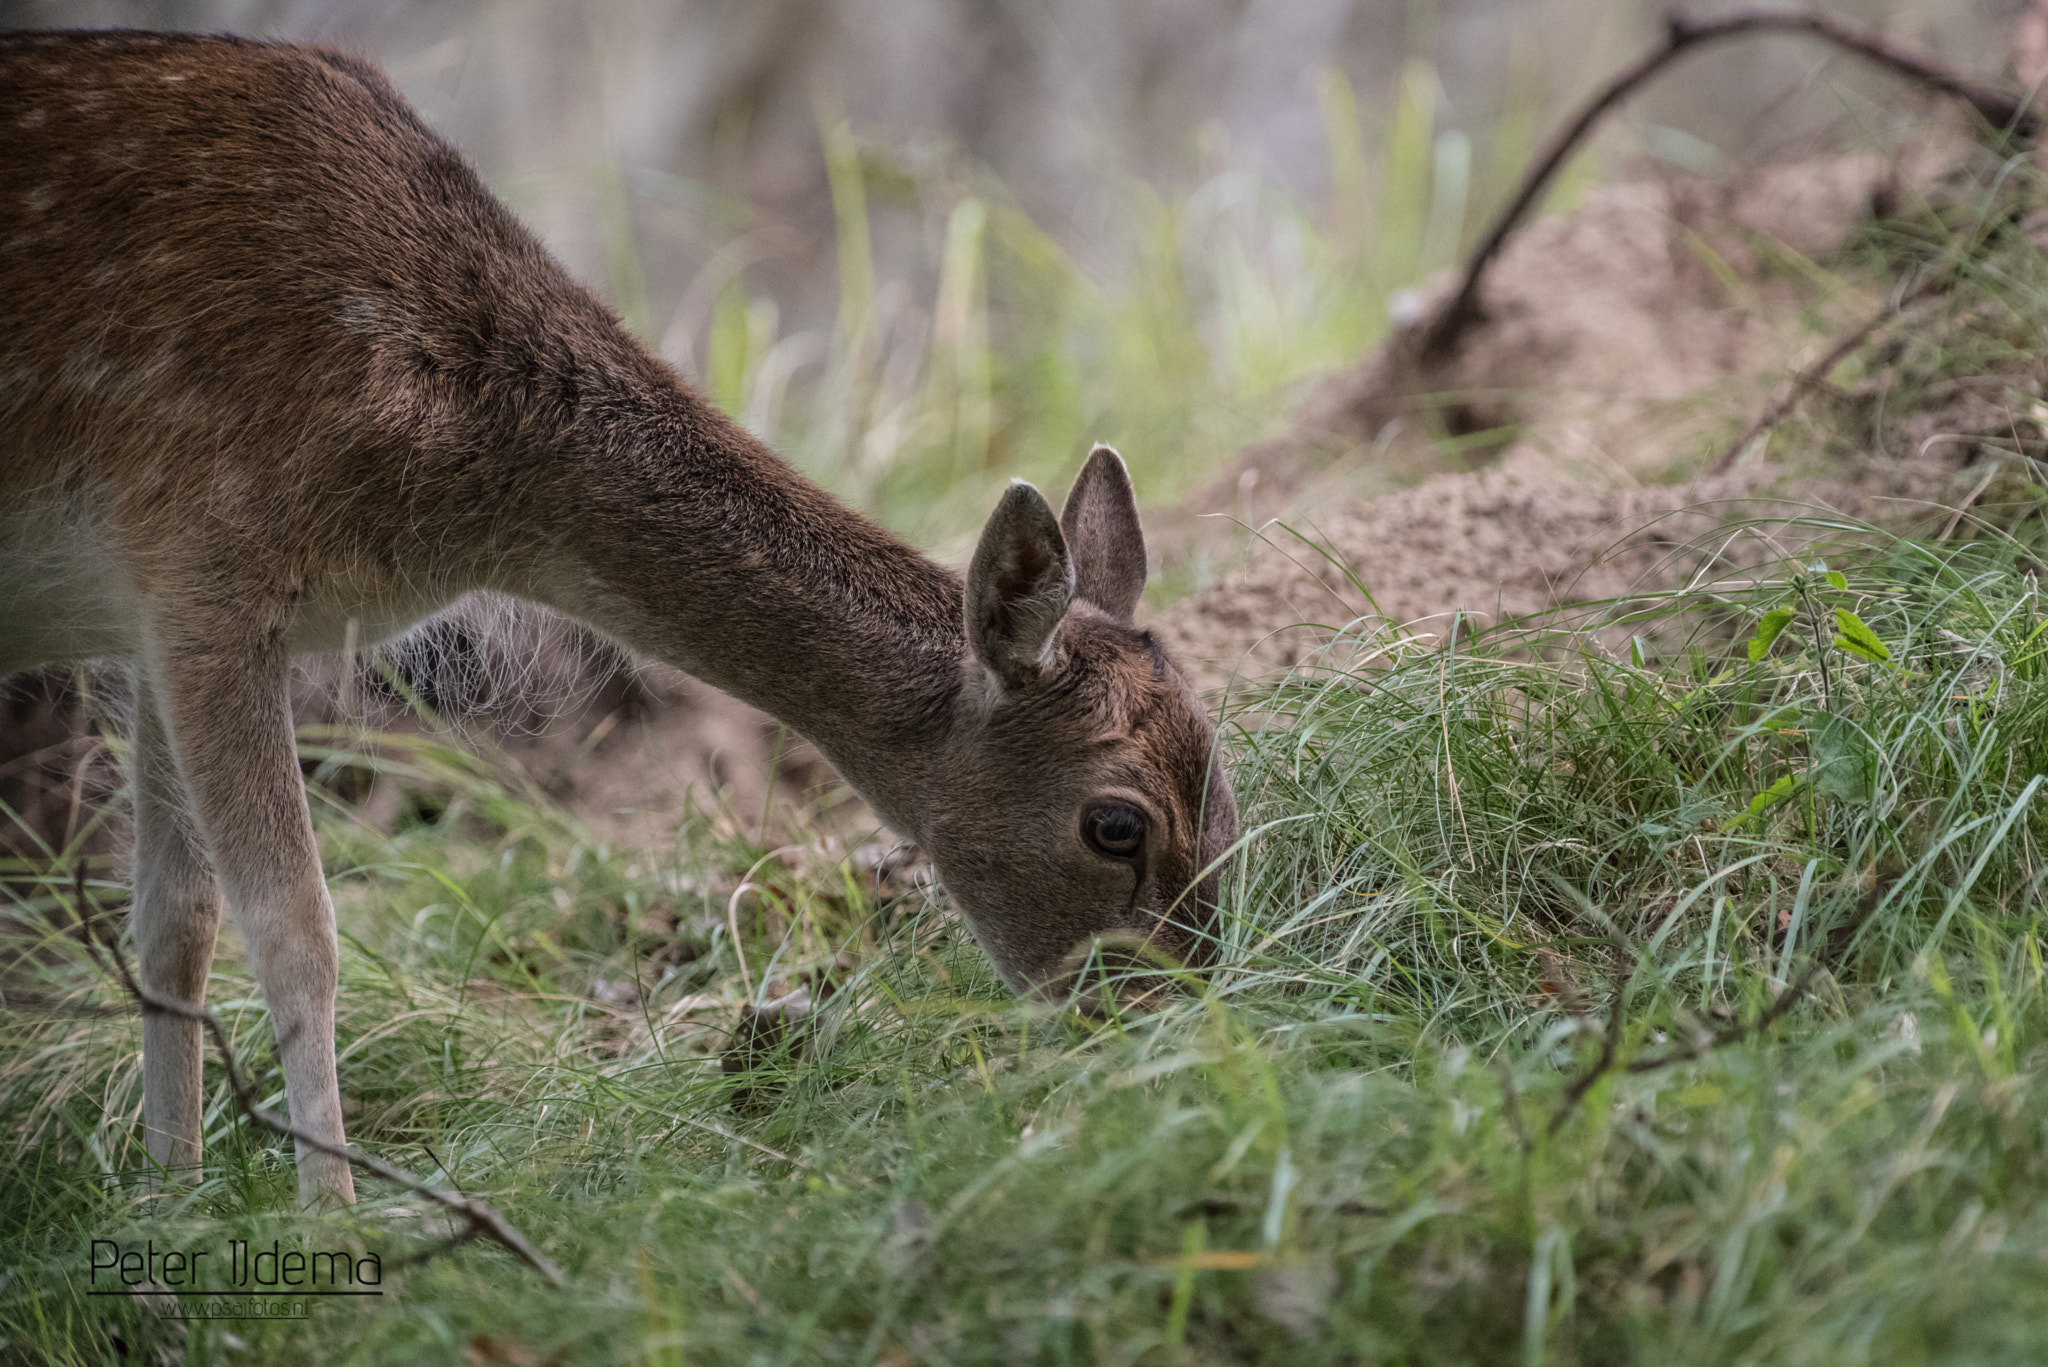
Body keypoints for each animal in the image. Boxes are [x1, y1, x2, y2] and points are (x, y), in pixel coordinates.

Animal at [0, 32, 1228, 1205]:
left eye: (1221, 776)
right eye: (1114, 824)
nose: (1181, 1036)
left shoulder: (147, 618)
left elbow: (172, 919)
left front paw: (171, 1207)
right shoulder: (203, 563)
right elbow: (294, 929)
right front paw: (333, 1222)